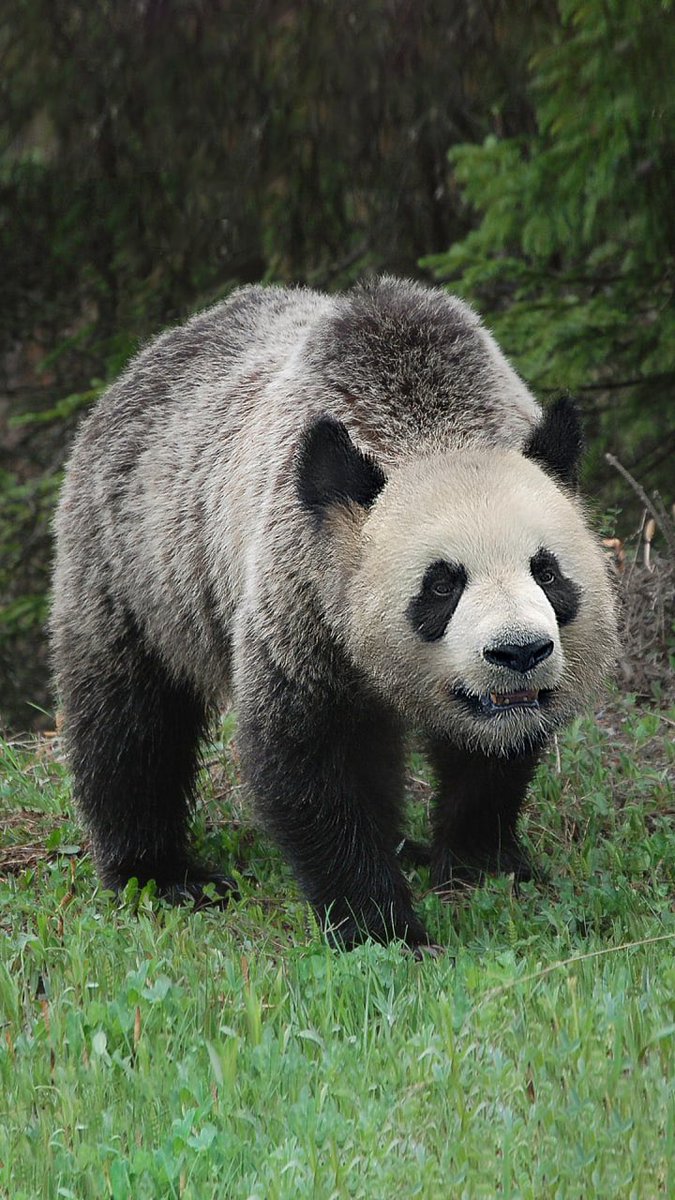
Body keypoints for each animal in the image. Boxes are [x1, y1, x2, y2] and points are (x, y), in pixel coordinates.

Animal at [51, 277, 618, 953]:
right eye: (441, 585)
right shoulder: (301, 586)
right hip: (134, 560)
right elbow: (311, 758)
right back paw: (162, 875)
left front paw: (482, 865)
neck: (429, 420)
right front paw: (384, 929)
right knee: (130, 718)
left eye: (547, 572)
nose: (518, 653)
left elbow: (492, 759)